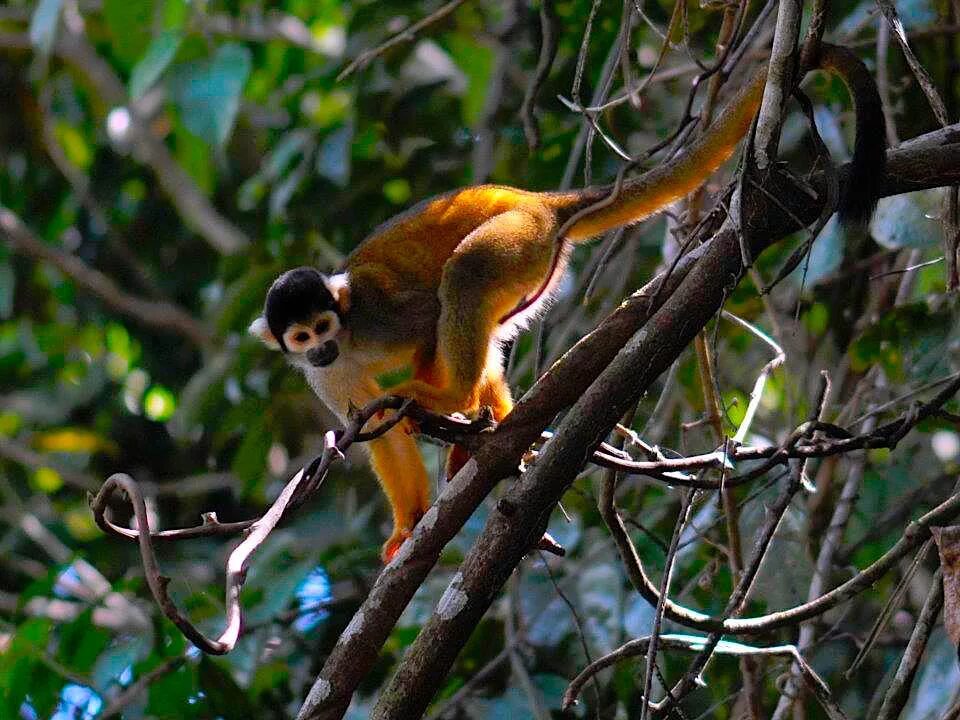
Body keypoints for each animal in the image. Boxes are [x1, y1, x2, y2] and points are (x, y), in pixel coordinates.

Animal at [249, 45, 884, 564]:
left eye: (323, 324)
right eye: (301, 338)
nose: (321, 347)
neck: (349, 336)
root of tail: (541, 201)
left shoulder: (375, 312)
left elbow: (428, 323)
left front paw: (437, 400)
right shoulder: (323, 377)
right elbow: (372, 423)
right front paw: (408, 522)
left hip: (516, 238)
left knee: (465, 278)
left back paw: (460, 399)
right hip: (533, 266)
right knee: (486, 320)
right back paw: (496, 425)